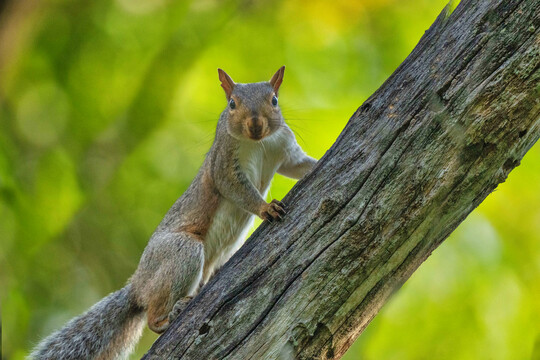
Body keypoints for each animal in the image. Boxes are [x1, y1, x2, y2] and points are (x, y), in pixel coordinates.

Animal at [29, 66, 316, 358]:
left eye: (274, 100)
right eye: (232, 104)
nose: (255, 125)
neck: (259, 143)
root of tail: (138, 285)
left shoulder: (284, 148)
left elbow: (298, 165)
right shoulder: (223, 163)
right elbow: (236, 188)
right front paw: (265, 207)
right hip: (180, 252)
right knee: (153, 315)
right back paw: (167, 317)